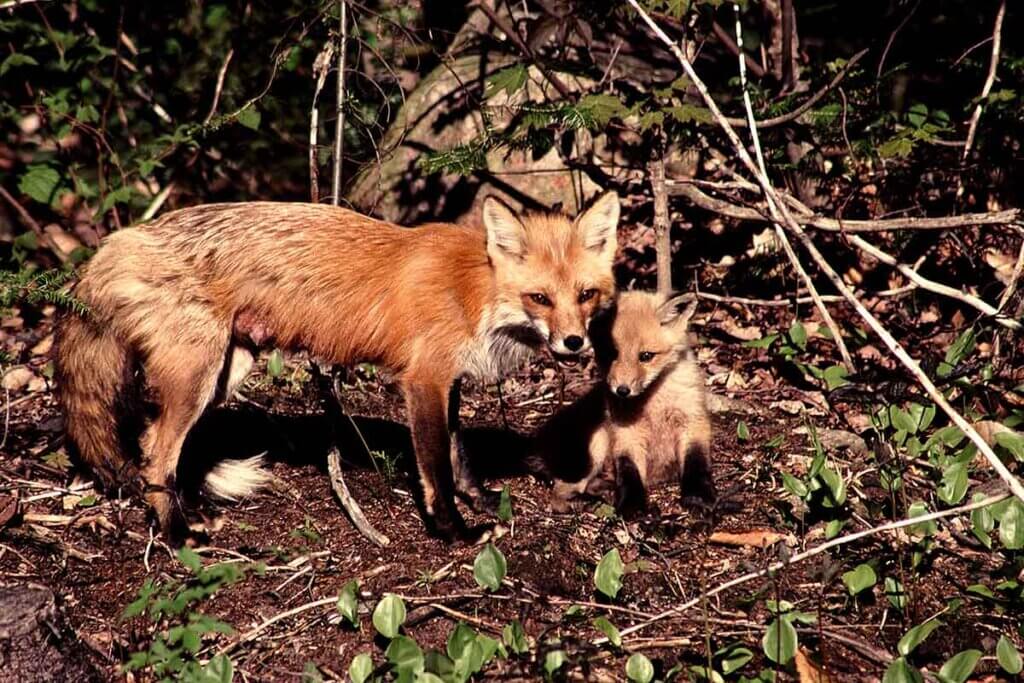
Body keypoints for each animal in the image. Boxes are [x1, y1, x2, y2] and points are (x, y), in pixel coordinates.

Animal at [58, 194, 622, 540]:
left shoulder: (449, 381)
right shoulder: (424, 381)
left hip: (226, 371)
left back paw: (190, 510)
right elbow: (436, 468)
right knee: (155, 452)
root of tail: (116, 241)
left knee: (168, 450)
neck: (475, 292)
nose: (574, 343)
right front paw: (453, 530)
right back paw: (176, 533)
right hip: (197, 374)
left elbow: (459, 453)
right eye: (540, 298)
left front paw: (479, 499)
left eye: (586, 295)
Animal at [536, 290, 712, 518]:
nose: (622, 390)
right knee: (559, 494)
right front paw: (632, 505)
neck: (655, 404)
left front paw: (698, 497)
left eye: (646, 356)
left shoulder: (693, 422)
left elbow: (697, 464)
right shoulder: (626, 433)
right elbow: (630, 472)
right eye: (611, 354)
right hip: (596, 443)